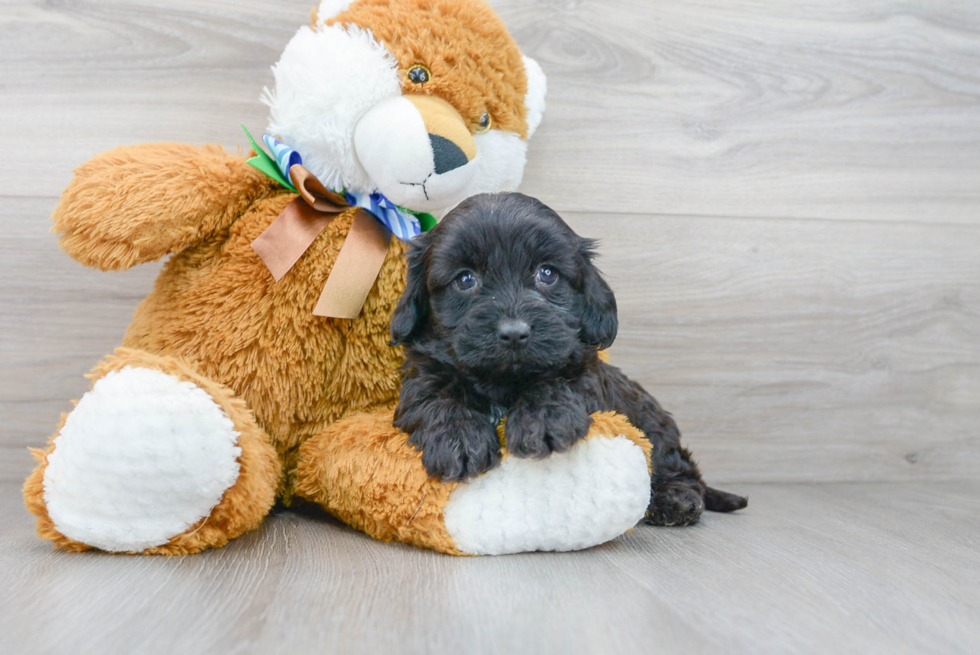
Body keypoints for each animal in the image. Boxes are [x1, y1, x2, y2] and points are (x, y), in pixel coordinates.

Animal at [388, 192, 744, 524]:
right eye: (464, 279)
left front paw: (542, 419)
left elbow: (559, 381)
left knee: (679, 468)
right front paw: (459, 439)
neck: (503, 381)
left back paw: (675, 499)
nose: (514, 332)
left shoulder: (587, 376)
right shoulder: (421, 377)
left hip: (654, 429)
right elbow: (434, 396)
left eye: (547, 274)